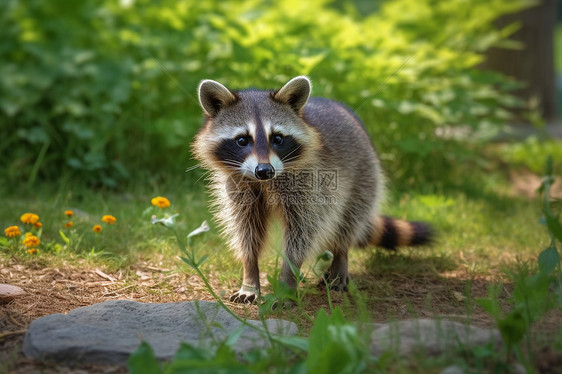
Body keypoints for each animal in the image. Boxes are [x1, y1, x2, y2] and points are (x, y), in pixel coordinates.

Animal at [190, 75, 430, 304]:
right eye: (242, 140)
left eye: (277, 138)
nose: (264, 170)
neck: (265, 183)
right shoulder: (238, 188)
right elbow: (247, 232)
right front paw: (250, 274)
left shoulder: (313, 184)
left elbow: (302, 234)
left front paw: (287, 283)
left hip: (365, 175)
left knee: (349, 220)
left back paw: (341, 258)